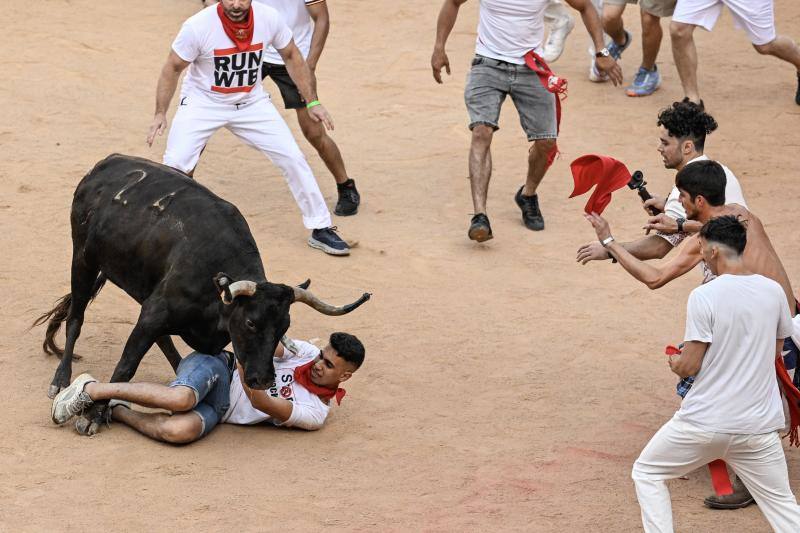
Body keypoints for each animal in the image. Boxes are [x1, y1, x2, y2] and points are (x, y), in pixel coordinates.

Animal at [35, 153, 372, 432]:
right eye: (251, 323)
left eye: (283, 327)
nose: (263, 380)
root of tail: (103, 166)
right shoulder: (154, 312)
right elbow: (126, 365)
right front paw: (92, 415)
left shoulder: (173, 320)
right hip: (82, 258)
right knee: (76, 317)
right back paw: (61, 381)